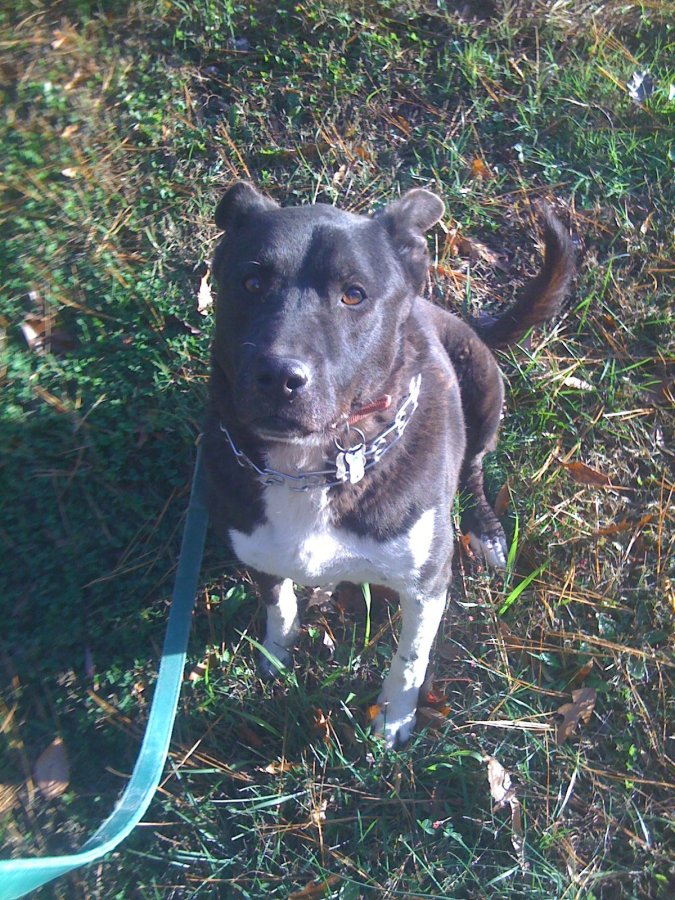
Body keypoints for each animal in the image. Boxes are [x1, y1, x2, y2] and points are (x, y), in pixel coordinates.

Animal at [203, 182, 574, 748]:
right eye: (250, 282)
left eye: (353, 294)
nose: (279, 376)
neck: (309, 468)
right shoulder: (258, 550)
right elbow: (279, 603)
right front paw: (277, 654)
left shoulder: (428, 583)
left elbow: (411, 657)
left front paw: (394, 718)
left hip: (484, 385)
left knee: (474, 466)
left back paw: (486, 532)